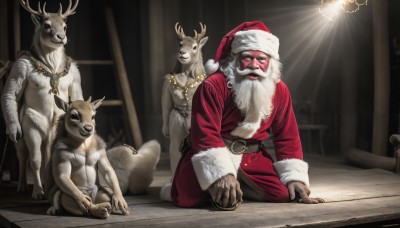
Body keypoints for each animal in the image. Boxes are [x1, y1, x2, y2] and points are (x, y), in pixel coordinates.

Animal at [0, 0, 82, 200]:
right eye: (46, 25)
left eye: (65, 26)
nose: (61, 37)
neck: (51, 68)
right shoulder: (31, 128)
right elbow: (35, 160)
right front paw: (38, 191)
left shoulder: (75, 75)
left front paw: (47, 186)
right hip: (24, 135)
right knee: (24, 157)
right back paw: (23, 186)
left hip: (49, 134)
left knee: (46, 156)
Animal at [162, 22, 209, 176]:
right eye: (180, 44)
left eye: (194, 47)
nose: (182, 53)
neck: (188, 75)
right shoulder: (166, 84)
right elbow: (166, 105)